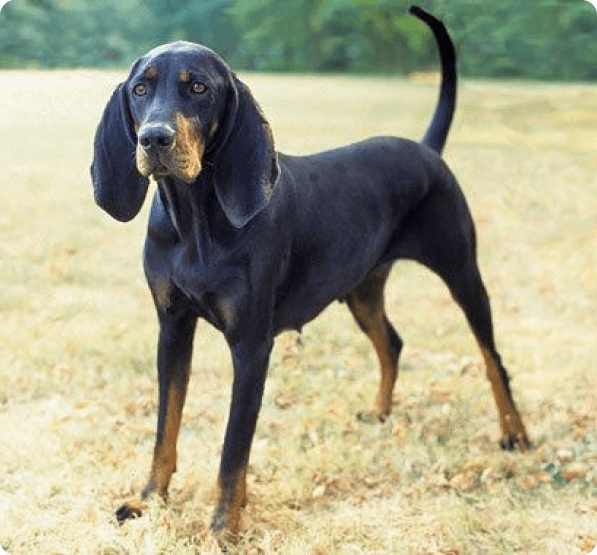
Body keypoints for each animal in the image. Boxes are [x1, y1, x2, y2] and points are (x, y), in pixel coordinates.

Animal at [91, 5, 528, 540]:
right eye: (140, 88)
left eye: (198, 88)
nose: (154, 138)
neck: (195, 221)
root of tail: (427, 150)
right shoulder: (172, 328)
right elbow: (165, 427)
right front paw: (150, 500)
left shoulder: (251, 346)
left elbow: (233, 451)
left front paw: (223, 527)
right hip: (362, 289)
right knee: (392, 343)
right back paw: (380, 412)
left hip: (463, 273)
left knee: (492, 358)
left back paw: (514, 433)